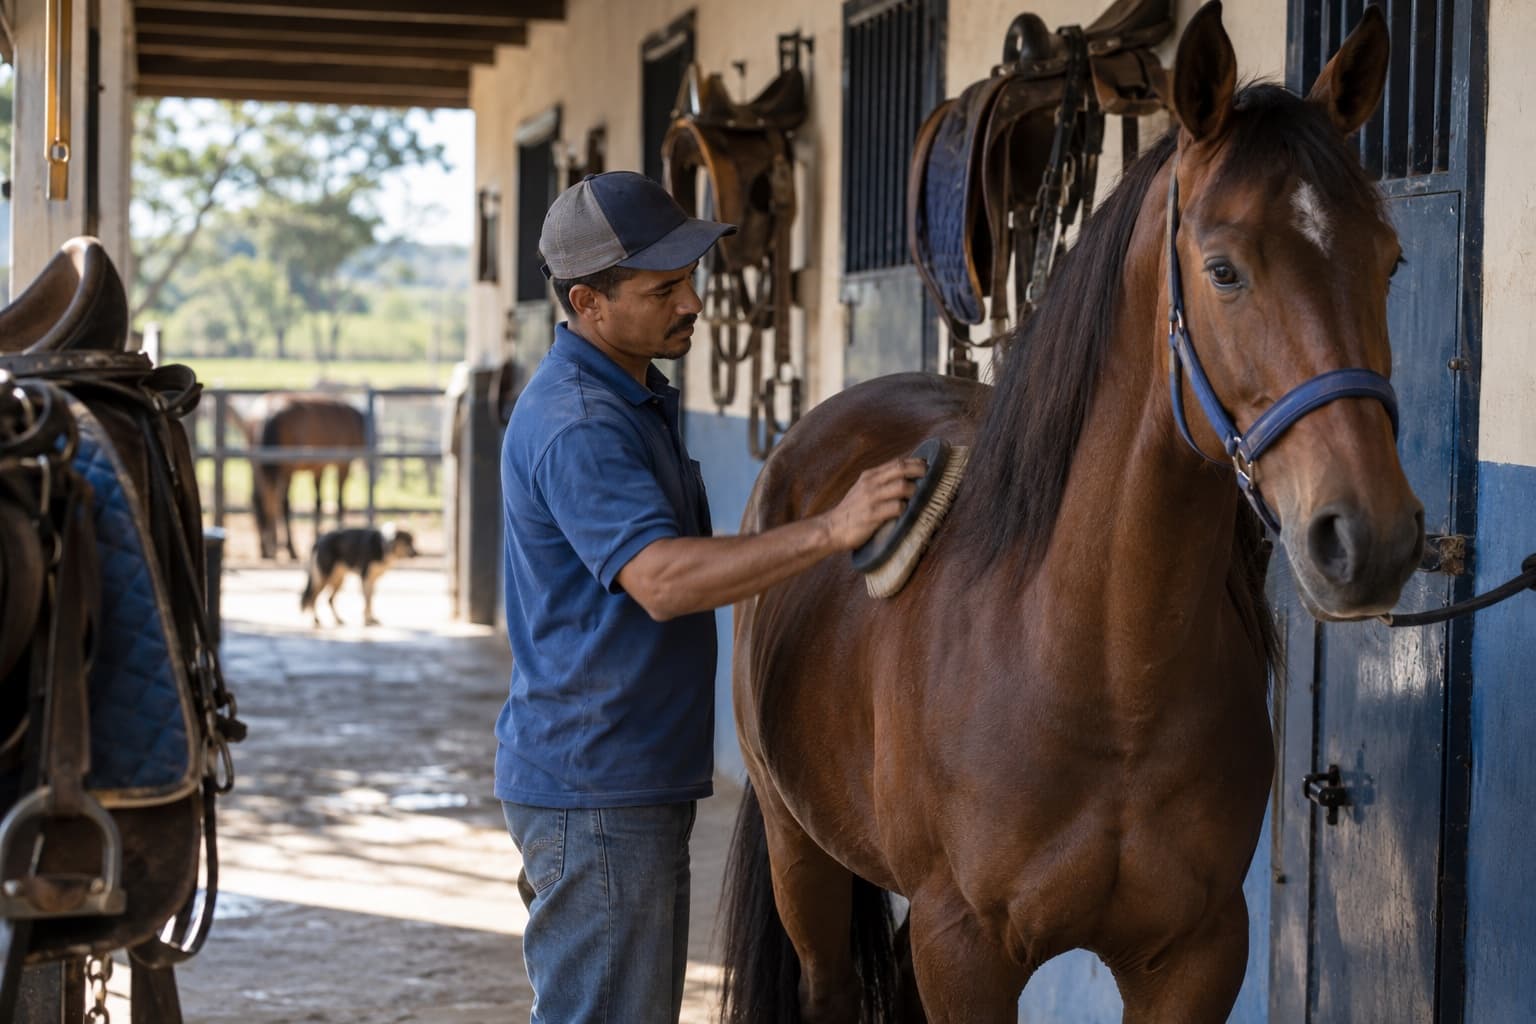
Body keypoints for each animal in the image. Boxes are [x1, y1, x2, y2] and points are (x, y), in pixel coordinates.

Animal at [244, 392, 367, 561]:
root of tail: (267, 412)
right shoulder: (343, 464)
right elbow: (339, 501)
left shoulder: (318, 469)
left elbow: (318, 502)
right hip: (285, 469)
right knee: (282, 503)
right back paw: (289, 549)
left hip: (258, 466)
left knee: (260, 499)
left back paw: (266, 549)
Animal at [720, 6, 1419, 1022]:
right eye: (1223, 270)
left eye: (1390, 260)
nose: (1370, 539)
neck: (1103, 669)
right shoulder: (965, 949)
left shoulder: (1199, 956)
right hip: (800, 853)